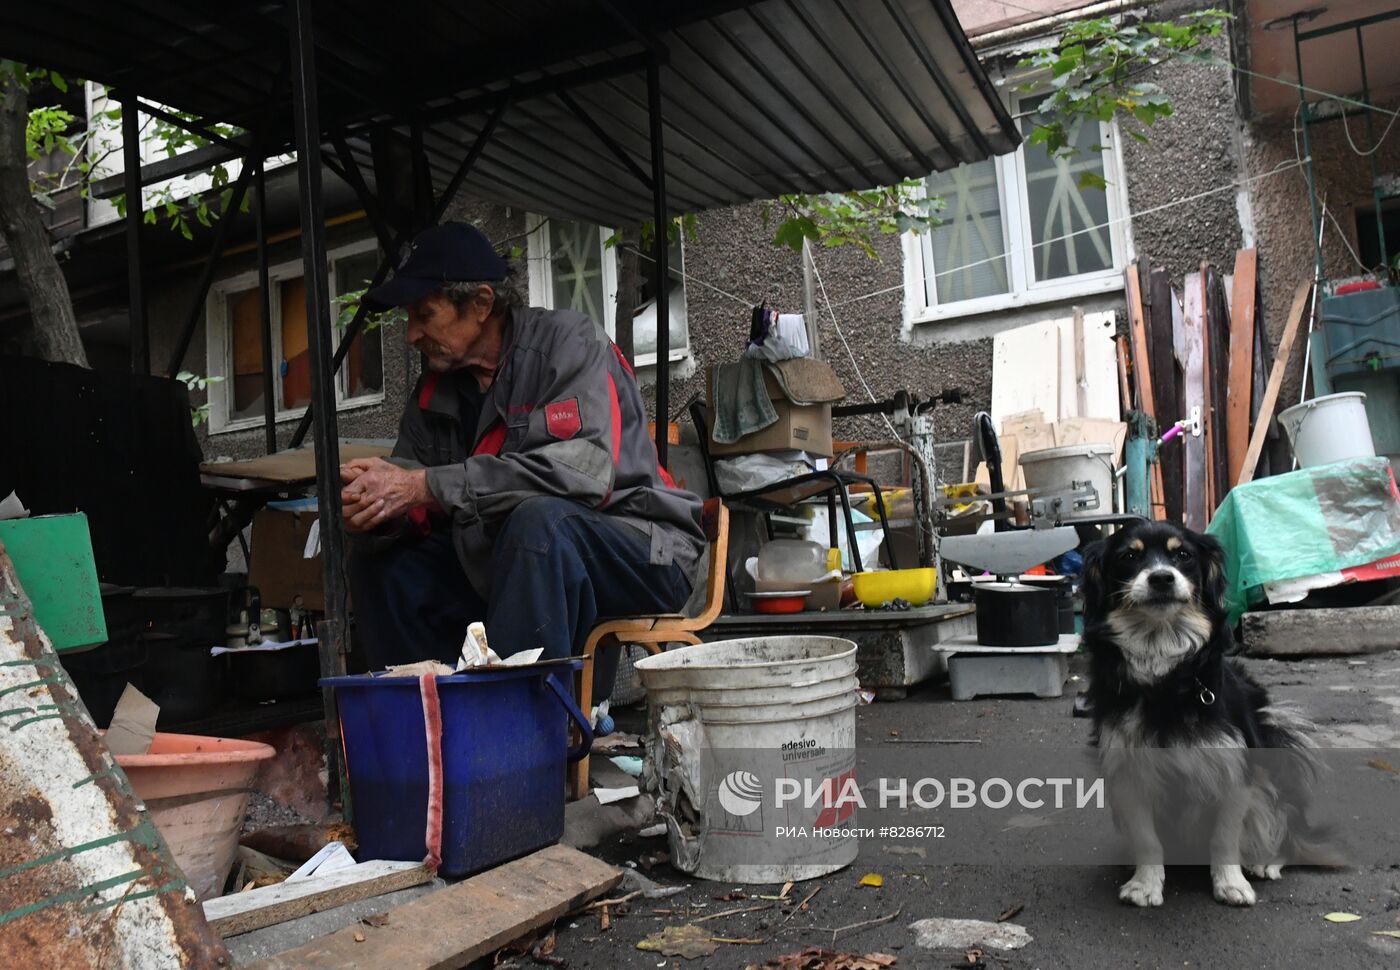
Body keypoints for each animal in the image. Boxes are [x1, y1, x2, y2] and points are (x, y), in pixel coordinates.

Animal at [1080, 517, 1332, 907]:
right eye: (1128, 557)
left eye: (1183, 555)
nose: (1161, 578)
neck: (1166, 675)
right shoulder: (1127, 771)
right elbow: (1146, 838)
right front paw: (1145, 884)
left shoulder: (1235, 767)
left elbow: (1224, 836)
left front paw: (1230, 883)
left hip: (1273, 779)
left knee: (1287, 829)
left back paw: (1265, 862)